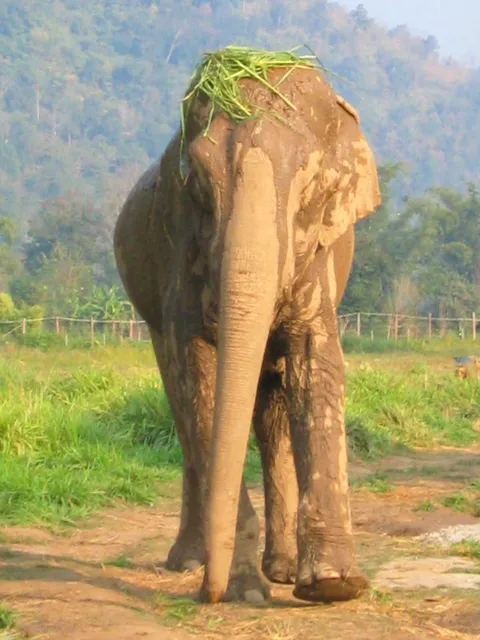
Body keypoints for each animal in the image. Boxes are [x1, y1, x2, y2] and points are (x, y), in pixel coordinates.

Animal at [114, 59, 381, 605]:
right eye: (197, 182)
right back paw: (189, 561)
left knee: (272, 407)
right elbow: (200, 377)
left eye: (311, 184)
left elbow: (314, 361)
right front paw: (245, 592)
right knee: (180, 402)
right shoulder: (180, 250)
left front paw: (333, 586)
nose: (209, 594)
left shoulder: (316, 257)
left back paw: (279, 569)